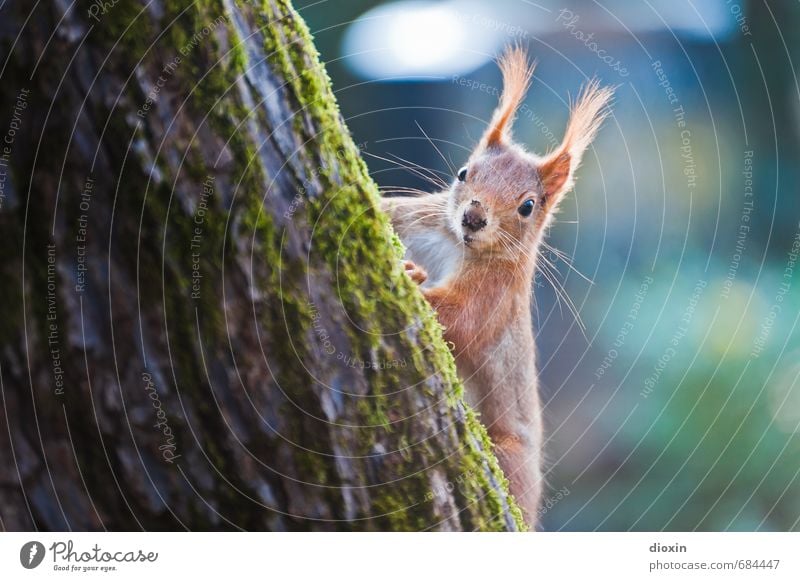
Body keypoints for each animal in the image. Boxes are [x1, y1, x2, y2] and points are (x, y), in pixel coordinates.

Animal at [382, 47, 612, 528]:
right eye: (462, 172)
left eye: (527, 206)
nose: (473, 217)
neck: (454, 243)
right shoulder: (415, 218)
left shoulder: (494, 295)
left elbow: (460, 319)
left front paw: (414, 279)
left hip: (509, 460)